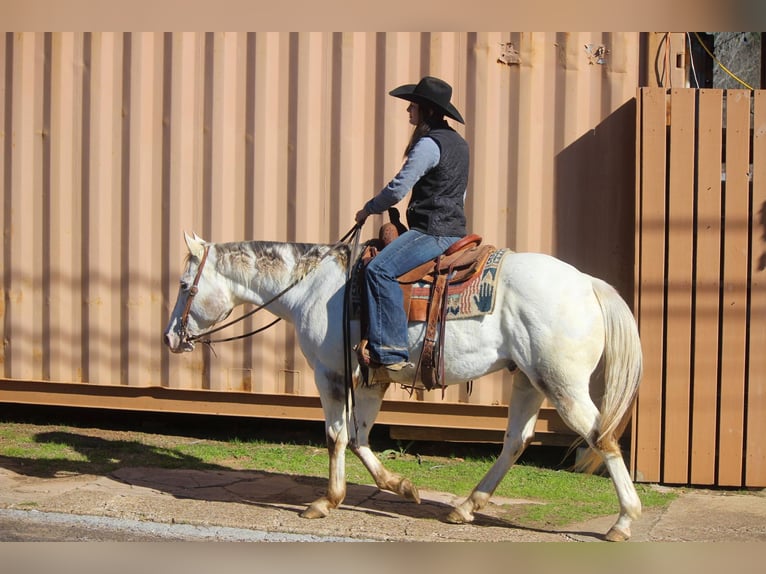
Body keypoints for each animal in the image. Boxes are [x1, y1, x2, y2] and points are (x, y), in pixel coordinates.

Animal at [165, 232, 644, 544]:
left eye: (186, 286)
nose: (170, 338)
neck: (314, 287)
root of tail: (588, 284)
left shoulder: (330, 373)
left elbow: (336, 436)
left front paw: (327, 501)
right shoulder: (370, 380)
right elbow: (359, 436)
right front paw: (402, 486)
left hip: (563, 384)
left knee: (601, 437)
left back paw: (623, 522)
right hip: (529, 380)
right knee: (516, 441)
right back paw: (465, 507)